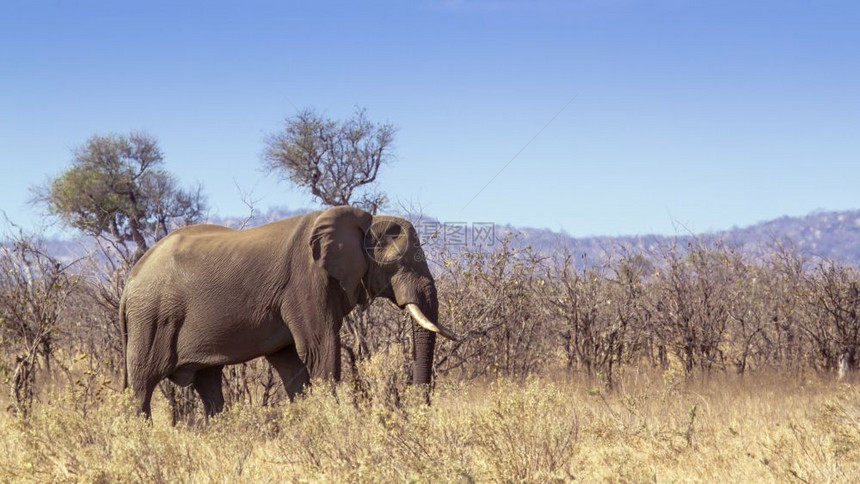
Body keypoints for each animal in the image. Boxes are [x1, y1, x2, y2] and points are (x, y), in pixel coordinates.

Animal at [121, 206, 460, 418]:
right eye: (403, 261)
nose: (418, 408)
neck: (363, 218)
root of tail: (129, 282)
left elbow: (290, 363)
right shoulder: (304, 281)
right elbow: (320, 348)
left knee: (209, 385)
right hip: (151, 317)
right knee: (142, 384)